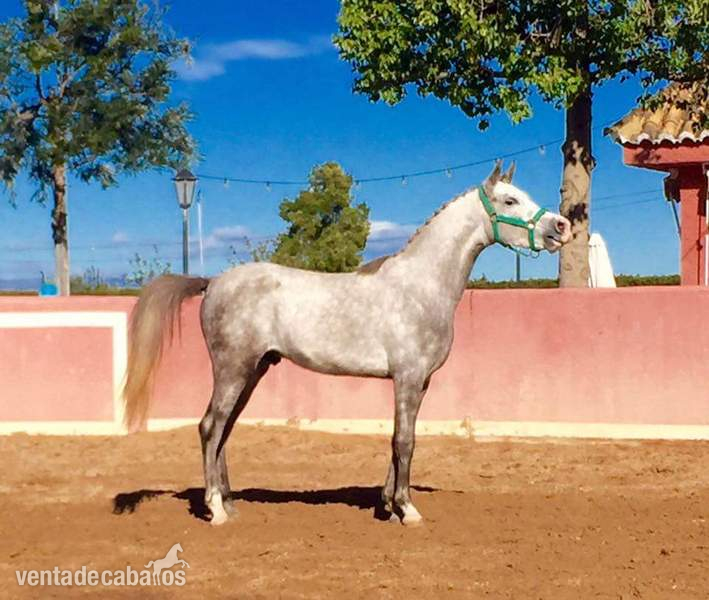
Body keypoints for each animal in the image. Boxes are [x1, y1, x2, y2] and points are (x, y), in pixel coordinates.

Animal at [122, 160, 571, 527]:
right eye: (510, 200)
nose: (561, 227)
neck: (421, 285)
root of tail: (213, 281)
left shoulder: (419, 382)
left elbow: (400, 439)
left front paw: (388, 504)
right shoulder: (408, 378)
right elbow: (404, 441)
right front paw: (407, 510)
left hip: (253, 370)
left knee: (224, 430)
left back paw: (230, 504)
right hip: (233, 369)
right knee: (210, 427)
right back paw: (215, 509)